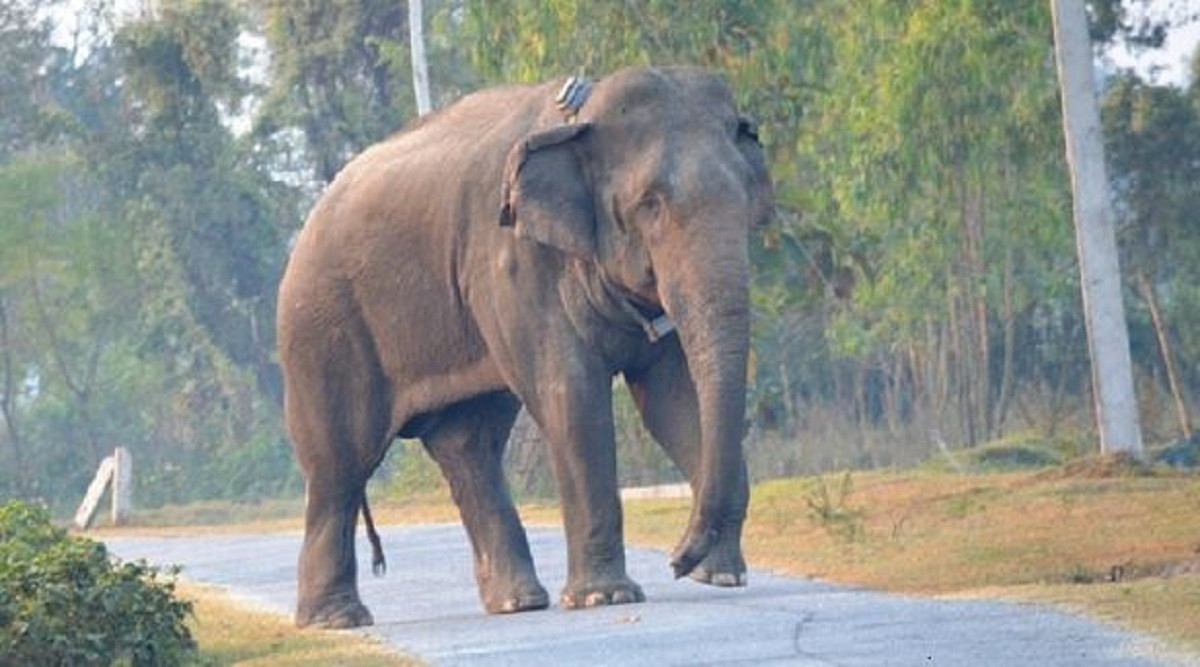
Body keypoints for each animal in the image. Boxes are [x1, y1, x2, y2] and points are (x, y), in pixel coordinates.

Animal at [276, 65, 772, 628]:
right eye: (650, 204)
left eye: (746, 199)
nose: (677, 560)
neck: (582, 115)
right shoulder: (513, 260)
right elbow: (571, 397)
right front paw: (607, 597)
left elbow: (673, 399)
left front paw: (721, 576)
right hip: (322, 328)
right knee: (340, 463)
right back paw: (336, 620)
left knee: (469, 446)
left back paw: (517, 602)